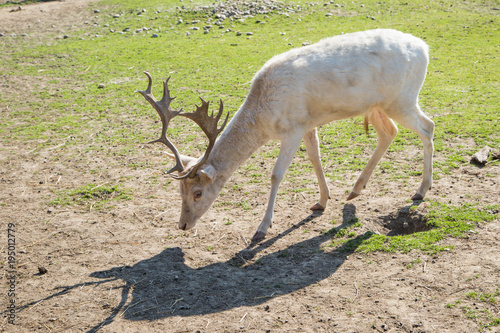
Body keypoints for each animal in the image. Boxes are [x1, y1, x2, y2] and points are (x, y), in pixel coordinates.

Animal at [137, 29, 434, 239]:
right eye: (179, 190)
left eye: (198, 193)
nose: (183, 225)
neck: (265, 118)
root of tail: (425, 47)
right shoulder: (307, 124)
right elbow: (315, 158)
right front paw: (322, 202)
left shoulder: (292, 129)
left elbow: (276, 174)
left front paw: (262, 228)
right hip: (378, 105)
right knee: (390, 132)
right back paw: (355, 190)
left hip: (403, 99)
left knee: (427, 126)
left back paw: (420, 191)